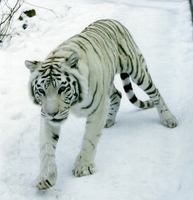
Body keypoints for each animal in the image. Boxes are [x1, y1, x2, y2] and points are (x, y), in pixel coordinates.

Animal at [25, 19, 178, 190]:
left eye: (62, 89)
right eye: (41, 91)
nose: (52, 114)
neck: (73, 104)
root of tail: (111, 20)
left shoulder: (97, 109)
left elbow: (89, 139)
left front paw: (83, 166)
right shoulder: (46, 117)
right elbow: (46, 148)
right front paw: (45, 177)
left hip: (137, 70)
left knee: (155, 92)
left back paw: (168, 118)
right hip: (109, 84)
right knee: (117, 94)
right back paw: (109, 120)